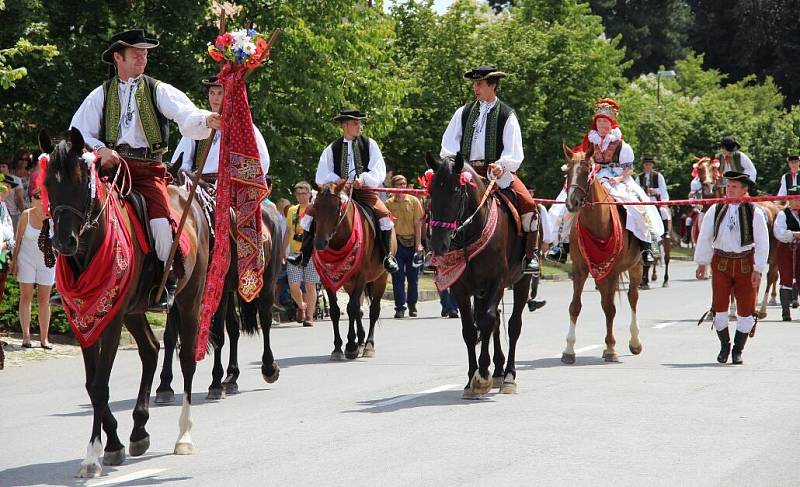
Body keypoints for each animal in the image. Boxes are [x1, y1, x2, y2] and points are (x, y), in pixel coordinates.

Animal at [39, 127, 209, 478]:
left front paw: (92, 456)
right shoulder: (84, 320)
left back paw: (183, 436)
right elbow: (92, 385)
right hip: (135, 310)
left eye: (82, 182)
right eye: (48, 183)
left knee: (187, 358)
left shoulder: (112, 320)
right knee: (151, 349)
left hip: (190, 300)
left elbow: (101, 384)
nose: (63, 242)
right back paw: (139, 431)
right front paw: (112, 445)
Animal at [155, 166, 282, 402]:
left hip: (267, 281)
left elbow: (217, 334)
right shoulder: (179, 294)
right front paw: (164, 386)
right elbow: (169, 336)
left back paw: (269, 368)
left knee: (265, 319)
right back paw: (231, 377)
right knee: (234, 327)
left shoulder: (216, 289)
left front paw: (214, 384)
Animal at [314, 181, 396, 360]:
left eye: (335, 208)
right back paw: (360, 340)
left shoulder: (361, 277)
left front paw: (351, 345)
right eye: (315, 207)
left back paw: (368, 344)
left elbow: (351, 308)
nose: (320, 243)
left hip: (380, 278)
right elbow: (336, 310)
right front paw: (338, 347)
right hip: (349, 283)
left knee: (373, 310)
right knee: (358, 309)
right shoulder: (328, 280)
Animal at [424, 154, 532, 398]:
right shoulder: (460, 287)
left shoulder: (497, 281)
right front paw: (471, 379)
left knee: (513, 325)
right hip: (480, 291)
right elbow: (470, 330)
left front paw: (482, 375)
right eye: (431, 191)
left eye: (456, 190)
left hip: (522, 281)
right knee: (492, 323)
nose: (438, 244)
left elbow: (488, 321)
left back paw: (508, 376)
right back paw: (499, 370)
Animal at [560, 147, 648, 364]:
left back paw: (635, 342)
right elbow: (575, 306)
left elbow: (610, 308)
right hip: (599, 273)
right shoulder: (580, 269)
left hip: (635, 267)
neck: (598, 224)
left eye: (587, 171)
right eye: (567, 172)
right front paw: (569, 350)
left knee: (632, 297)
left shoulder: (614, 271)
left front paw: (610, 348)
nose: (572, 202)